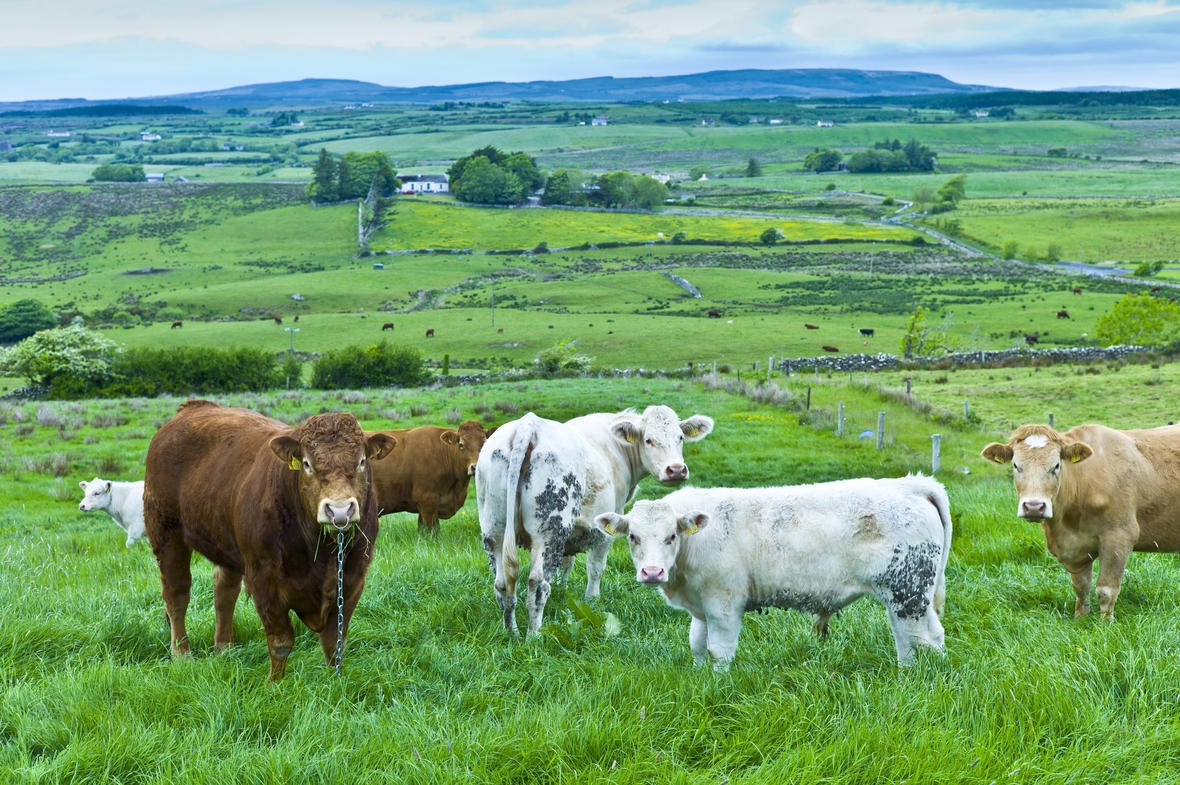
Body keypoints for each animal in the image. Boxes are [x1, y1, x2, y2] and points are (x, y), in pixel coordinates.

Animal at [140, 398, 398, 679]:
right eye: (307, 464)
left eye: (361, 461)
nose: (339, 510)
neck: (324, 552)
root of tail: (191, 408)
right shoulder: (264, 580)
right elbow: (281, 641)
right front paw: (275, 683)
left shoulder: (352, 578)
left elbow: (334, 642)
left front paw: (334, 681)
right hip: (166, 533)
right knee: (177, 593)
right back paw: (182, 654)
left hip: (226, 544)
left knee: (224, 590)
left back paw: (224, 648)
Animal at [368, 420, 497, 535]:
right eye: (461, 444)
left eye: (485, 443)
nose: (475, 467)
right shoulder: (426, 498)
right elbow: (433, 529)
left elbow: (422, 529)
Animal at [474, 406, 712, 632]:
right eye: (648, 440)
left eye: (680, 437)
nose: (676, 470)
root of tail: (527, 424)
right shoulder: (604, 530)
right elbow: (596, 567)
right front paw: (592, 600)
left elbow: (566, 565)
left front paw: (563, 590)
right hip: (550, 530)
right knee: (538, 585)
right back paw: (534, 636)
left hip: (494, 529)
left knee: (503, 584)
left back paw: (511, 632)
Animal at [594, 472, 953, 665]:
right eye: (633, 537)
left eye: (671, 536)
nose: (652, 572)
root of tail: (910, 485)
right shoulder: (701, 606)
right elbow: (697, 644)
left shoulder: (724, 603)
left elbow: (719, 650)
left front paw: (718, 685)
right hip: (901, 597)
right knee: (906, 640)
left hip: (910, 592)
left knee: (928, 638)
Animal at [981, 424, 1180, 623]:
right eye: (1016, 465)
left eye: (1056, 465)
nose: (1034, 507)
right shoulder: (1078, 547)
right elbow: (1081, 587)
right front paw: (1080, 619)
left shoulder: (1120, 537)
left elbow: (1106, 590)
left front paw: (1105, 624)